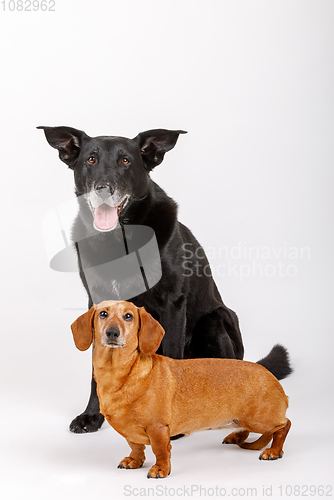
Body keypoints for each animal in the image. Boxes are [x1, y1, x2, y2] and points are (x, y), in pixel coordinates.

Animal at [37, 126, 290, 434]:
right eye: (91, 159)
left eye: (125, 161)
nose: (103, 189)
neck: (118, 240)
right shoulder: (97, 303)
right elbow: (97, 368)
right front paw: (92, 415)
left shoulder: (173, 302)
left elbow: (171, 353)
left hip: (215, 320)